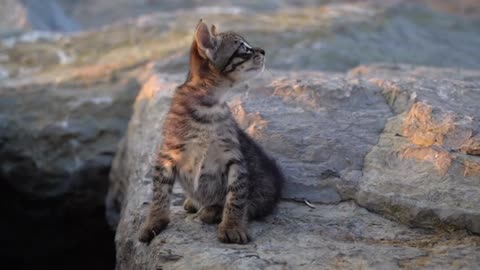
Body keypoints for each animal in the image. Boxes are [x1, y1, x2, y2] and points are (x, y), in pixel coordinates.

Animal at [137, 20, 284, 245]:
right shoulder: (167, 154)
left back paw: (212, 211)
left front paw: (232, 226)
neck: (209, 104)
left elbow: (236, 196)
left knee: (249, 204)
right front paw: (154, 222)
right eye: (244, 49)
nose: (263, 51)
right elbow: (159, 193)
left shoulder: (234, 157)